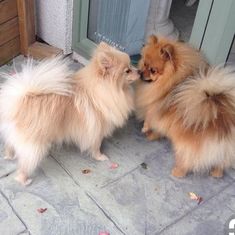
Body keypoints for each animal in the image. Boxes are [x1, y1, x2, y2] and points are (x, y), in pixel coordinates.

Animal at [0, 42, 140, 185]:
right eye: (127, 71)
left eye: (131, 66)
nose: (139, 71)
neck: (104, 90)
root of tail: (20, 99)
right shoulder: (96, 129)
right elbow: (96, 146)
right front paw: (100, 157)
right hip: (34, 144)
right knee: (25, 163)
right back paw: (24, 180)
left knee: (10, 145)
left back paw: (9, 156)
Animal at [134, 35, 235, 178]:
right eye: (144, 63)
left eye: (153, 70)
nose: (140, 72)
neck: (171, 81)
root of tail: (223, 118)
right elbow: (158, 128)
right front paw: (153, 135)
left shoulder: (155, 108)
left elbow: (150, 118)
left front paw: (146, 129)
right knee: (221, 162)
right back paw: (217, 173)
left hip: (186, 145)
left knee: (188, 160)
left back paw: (178, 172)